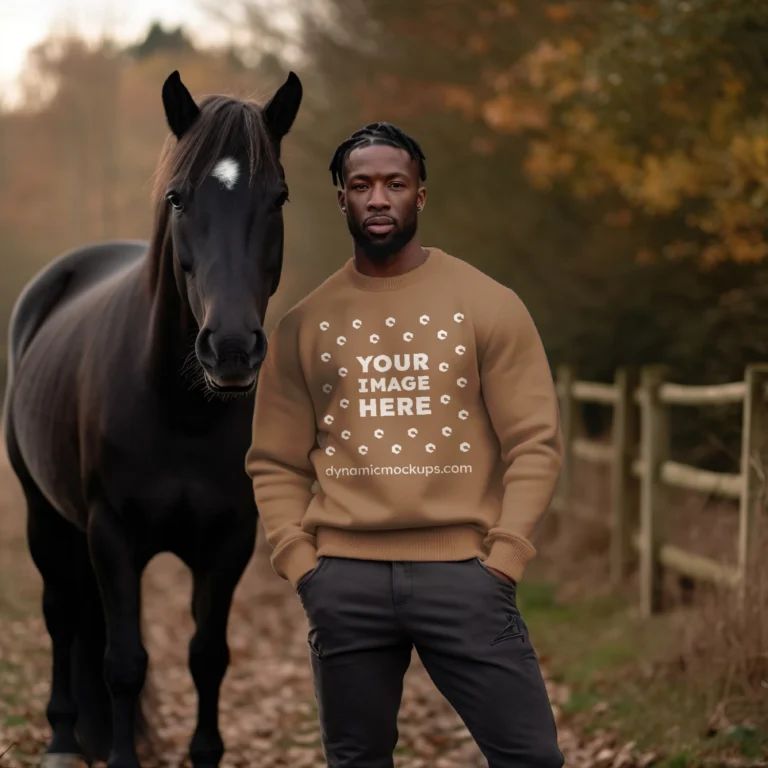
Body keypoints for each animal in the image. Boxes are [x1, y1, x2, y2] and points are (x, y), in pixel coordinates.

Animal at [3, 69, 304, 764]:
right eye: (177, 197)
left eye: (278, 198)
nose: (231, 347)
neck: (179, 410)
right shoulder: (112, 536)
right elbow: (124, 663)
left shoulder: (229, 542)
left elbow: (208, 657)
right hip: (44, 515)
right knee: (62, 614)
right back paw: (63, 738)